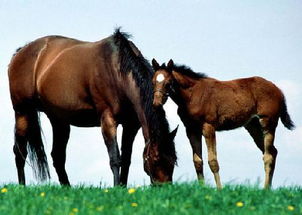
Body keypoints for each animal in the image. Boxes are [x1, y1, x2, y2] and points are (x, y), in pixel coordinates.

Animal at [7, 29, 178, 186]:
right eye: (156, 159)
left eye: (173, 160)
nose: (165, 188)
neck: (117, 71)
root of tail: (20, 53)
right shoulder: (108, 120)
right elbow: (115, 158)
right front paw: (116, 188)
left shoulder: (131, 125)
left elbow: (126, 158)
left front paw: (123, 187)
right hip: (23, 112)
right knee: (20, 151)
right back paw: (22, 186)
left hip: (59, 120)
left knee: (57, 156)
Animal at [152, 58, 294, 188]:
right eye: (153, 82)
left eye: (168, 83)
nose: (156, 103)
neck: (192, 96)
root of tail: (279, 91)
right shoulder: (191, 129)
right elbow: (197, 162)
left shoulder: (208, 127)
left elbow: (213, 161)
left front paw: (219, 190)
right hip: (253, 126)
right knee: (272, 152)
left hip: (268, 123)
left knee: (268, 156)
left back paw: (265, 190)